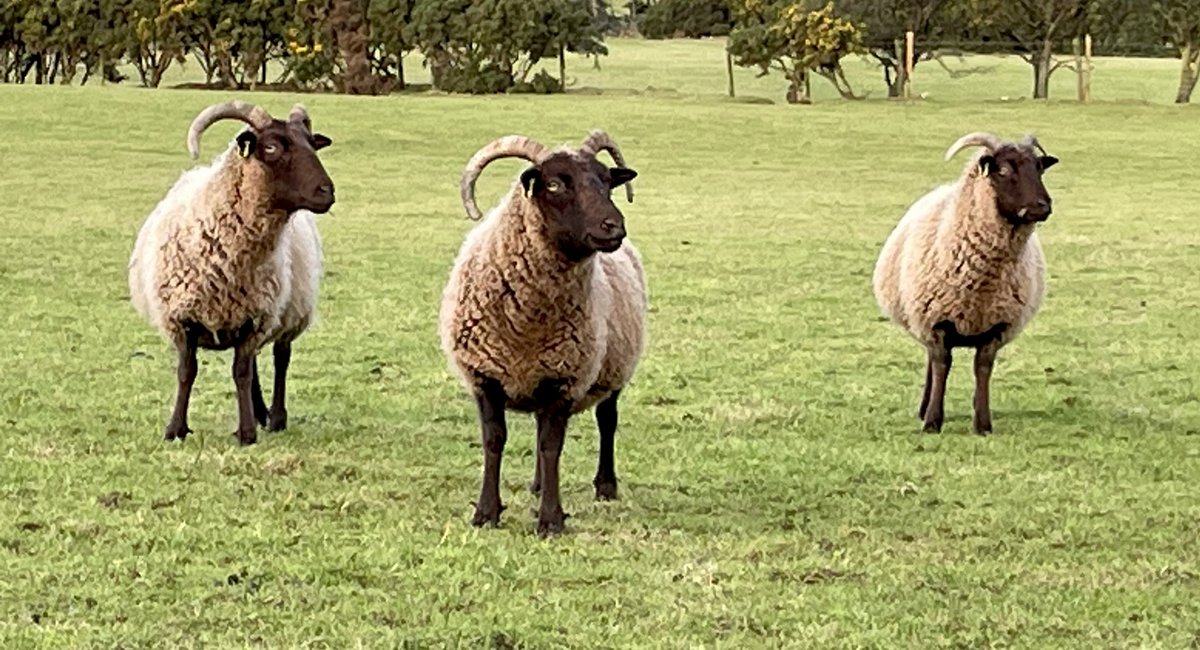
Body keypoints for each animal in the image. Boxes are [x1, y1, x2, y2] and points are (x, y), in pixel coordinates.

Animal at [128, 101, 336, 448]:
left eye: (311, 144)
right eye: (271, 147)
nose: (327, 192)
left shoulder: (254, 319)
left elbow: (241, 373)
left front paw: (247, 433)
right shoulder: (183, 317)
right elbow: (187, 372)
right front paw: (175, 429)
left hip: (290, 310)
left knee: (281, 357)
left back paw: (275, 418)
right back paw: (261, 412)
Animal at [439, 131, 648, 534]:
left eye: (607, 182)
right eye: (553, 184)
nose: (613, 226)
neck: (527, 327)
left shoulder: (564, 379)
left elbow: (553, 446)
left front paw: (551, 519)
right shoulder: (485, 377)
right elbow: (495, 441)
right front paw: (486, 513)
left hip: (614, 366)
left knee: (607, 421)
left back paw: (605, 486)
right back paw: (537, 485)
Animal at [873, 131, 1060, 438]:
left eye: (1039, 168)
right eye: (1003, 170)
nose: (1042, 206)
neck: (981, 285)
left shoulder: (996, 327)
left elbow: (982, 368)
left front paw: (982, 423)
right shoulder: (935, 321)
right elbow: (941, 366)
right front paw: (932, 422)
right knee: (931, 362)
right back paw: (924, 407)